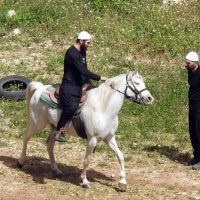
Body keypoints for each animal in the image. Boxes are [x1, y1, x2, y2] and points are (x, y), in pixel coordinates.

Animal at [17, 70, 155, 191]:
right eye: (136, 83)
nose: (149, 98)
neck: (103, 108)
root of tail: (39, 89)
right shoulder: (92, 140)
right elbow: (87, 160)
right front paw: (85, 181)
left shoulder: (110, 138)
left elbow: (120, 156)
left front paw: (122, 182)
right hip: (37, 124)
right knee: (26, 137)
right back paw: (20, 162)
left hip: (53, 127)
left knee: (49, 146)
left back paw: (56, 170)